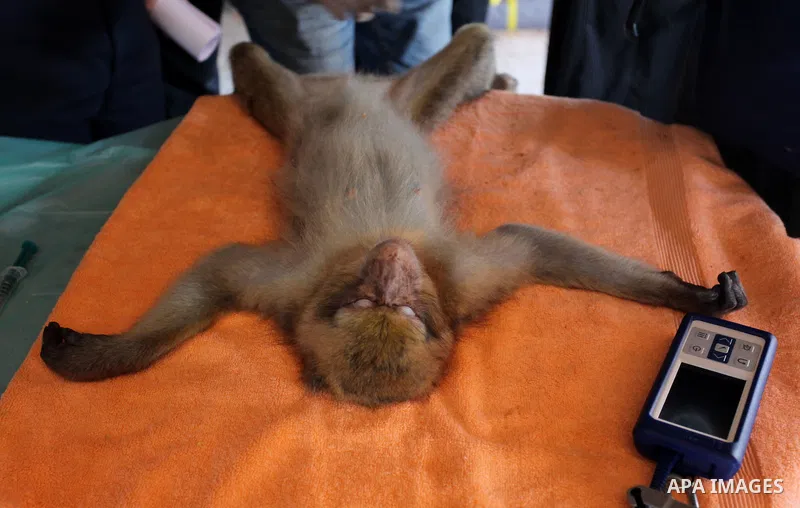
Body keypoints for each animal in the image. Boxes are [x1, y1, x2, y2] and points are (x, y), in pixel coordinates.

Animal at [40, 24, 747, 407]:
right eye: (365, 305)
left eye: (406, 310)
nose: (390, 264)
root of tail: (362, 90)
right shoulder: (286, 285)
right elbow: (217, 271)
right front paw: (115, 353)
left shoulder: (468, 278)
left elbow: (526, 244)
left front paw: (686, 296)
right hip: (303, 111)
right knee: (251, 64)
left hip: (406, 97)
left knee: (470, 44)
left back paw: (493, 82)